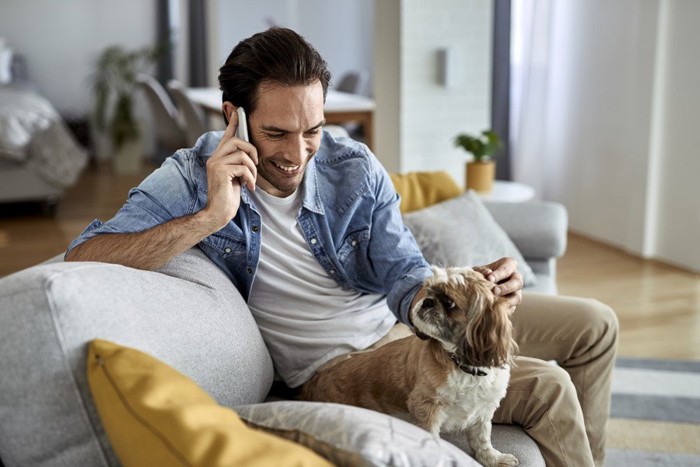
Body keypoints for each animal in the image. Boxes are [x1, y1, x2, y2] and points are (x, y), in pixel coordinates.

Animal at [300, 266, 520, 467]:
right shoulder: (425, 407)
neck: (461, 365)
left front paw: (493, 458)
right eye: (428, 291)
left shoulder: (483, 410)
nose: (427, 301)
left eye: (449, 302)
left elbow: (481, 439)